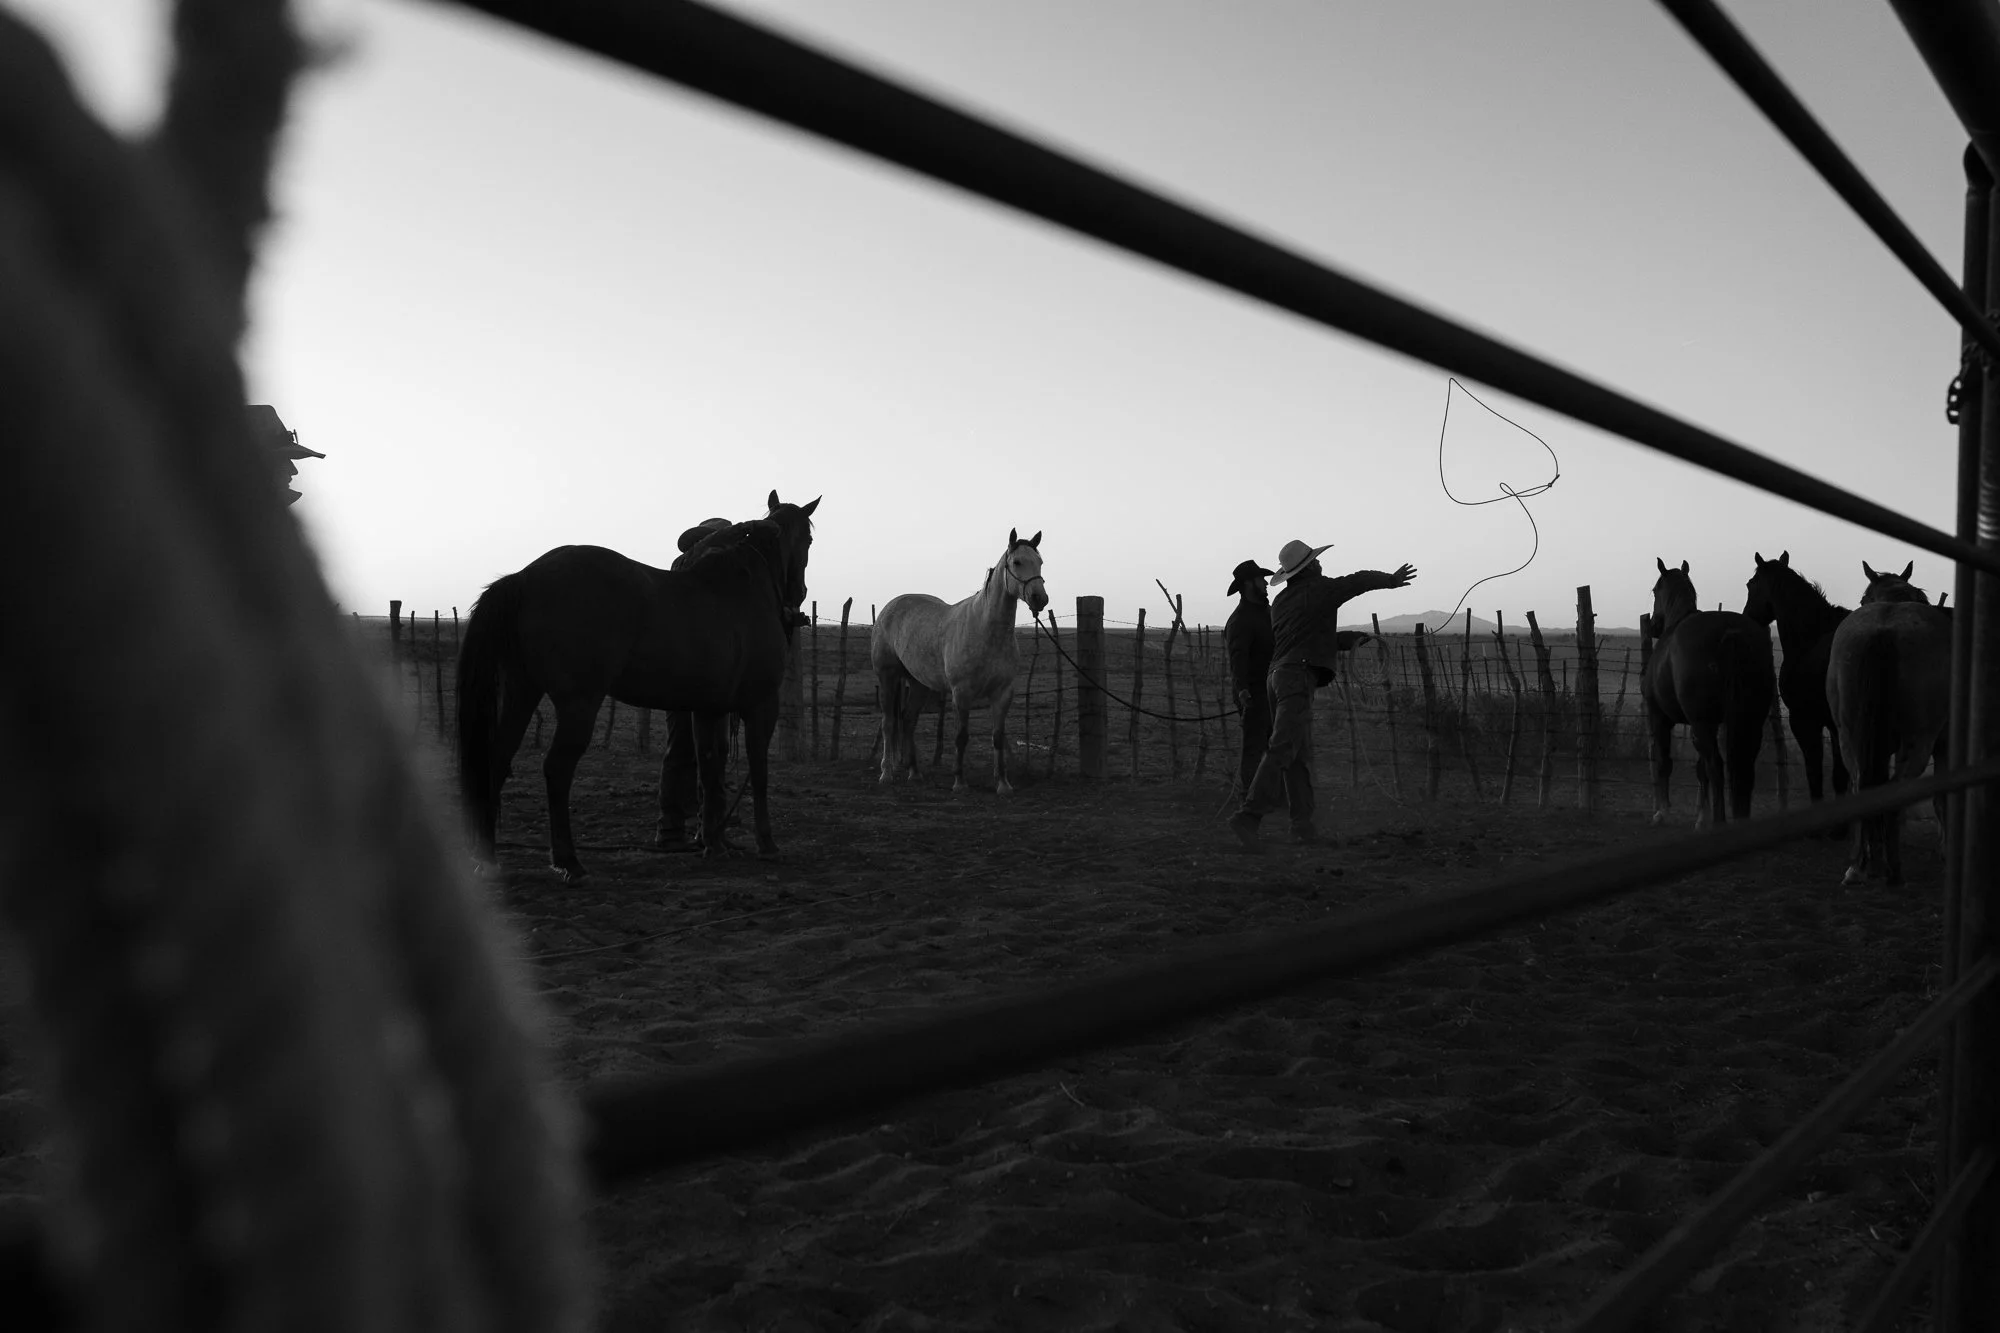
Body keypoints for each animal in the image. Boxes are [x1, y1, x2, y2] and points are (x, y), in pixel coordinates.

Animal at [457, 490, 819, 880]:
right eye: (809, 540)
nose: (798, 595)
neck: (744, 590)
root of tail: (525, 577)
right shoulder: (761, 705)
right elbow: (758, 770)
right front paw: (766, 844)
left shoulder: (709, 709)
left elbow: (710, 770)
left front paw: (714, 843)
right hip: (578, 703)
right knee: (556, 769)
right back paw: (568, 861)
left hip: (522, 692)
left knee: (498, 758)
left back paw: (487, 857)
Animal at [872, 529, 1048, 792]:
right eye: (1017, 562)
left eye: (1040, 562)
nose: (1040, 599)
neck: (986, 630)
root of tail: (888, 608)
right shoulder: (962, 693)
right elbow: (961, 737)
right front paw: (960, 782)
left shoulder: (1003, 693)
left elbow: (997, 737)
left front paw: (1003, 783)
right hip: (888, 677)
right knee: (889, 723)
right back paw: (886, 773)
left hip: (918, 684)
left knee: (908, 720)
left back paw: (914, 772)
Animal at [1642, 558, 1776, 828]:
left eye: (1655, 590)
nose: (1653, 626)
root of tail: (1730, 631)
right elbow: (1699, 770)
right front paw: (1701, 817)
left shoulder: (1661, 716)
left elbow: (1665, 762)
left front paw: (1662, 812)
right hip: (1750, 722)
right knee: (1743, 766)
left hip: (1702, 722)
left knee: (1716, 765)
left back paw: (1719, 821)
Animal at [1741, 551, 1851, 819]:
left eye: (1750, 584)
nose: (1747, 618)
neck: (1811, 638)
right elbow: (1839, 777)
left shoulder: (1805, 720)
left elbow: (1816, 773)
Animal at [1826, 560, 1953, 886]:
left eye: (1862, 598)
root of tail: (1883, 629)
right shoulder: (1943, 745)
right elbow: (1941, 798)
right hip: (1918, 744)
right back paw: (1892, 869)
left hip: (1849, 739)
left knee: (1861, 785)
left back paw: (1859, 867)